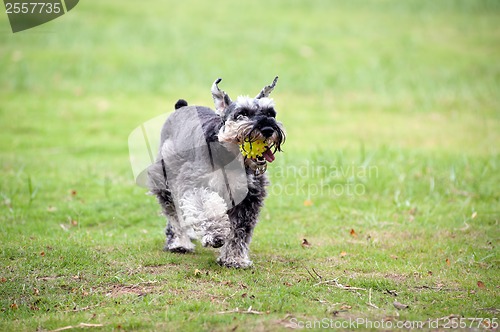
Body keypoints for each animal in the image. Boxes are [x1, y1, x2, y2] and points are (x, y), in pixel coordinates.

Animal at [146, 77, 284, 268]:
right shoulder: (194, 184)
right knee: (174, 214)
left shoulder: (249, 198)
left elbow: (240, 230)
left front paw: (234, 259)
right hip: (165, 179)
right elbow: (209, 207)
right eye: (241, 113)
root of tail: (181, 107)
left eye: (271, 113)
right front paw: (215, 234)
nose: (268, 129)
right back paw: (179, 243)